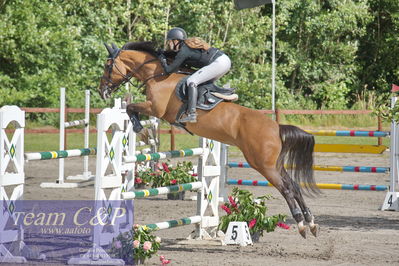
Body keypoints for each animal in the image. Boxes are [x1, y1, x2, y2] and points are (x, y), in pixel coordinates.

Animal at [98, 42, 320, 239]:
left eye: (108, 66)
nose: (102, 91)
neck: (158, 75)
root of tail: (276, 128)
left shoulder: (155, 108)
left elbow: (130, 108)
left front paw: (139, 129)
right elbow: (130, 108)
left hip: (264, 165)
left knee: (286, 189)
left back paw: (301, 225)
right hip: (275, 164)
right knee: (295, 186)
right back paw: (311, 223)